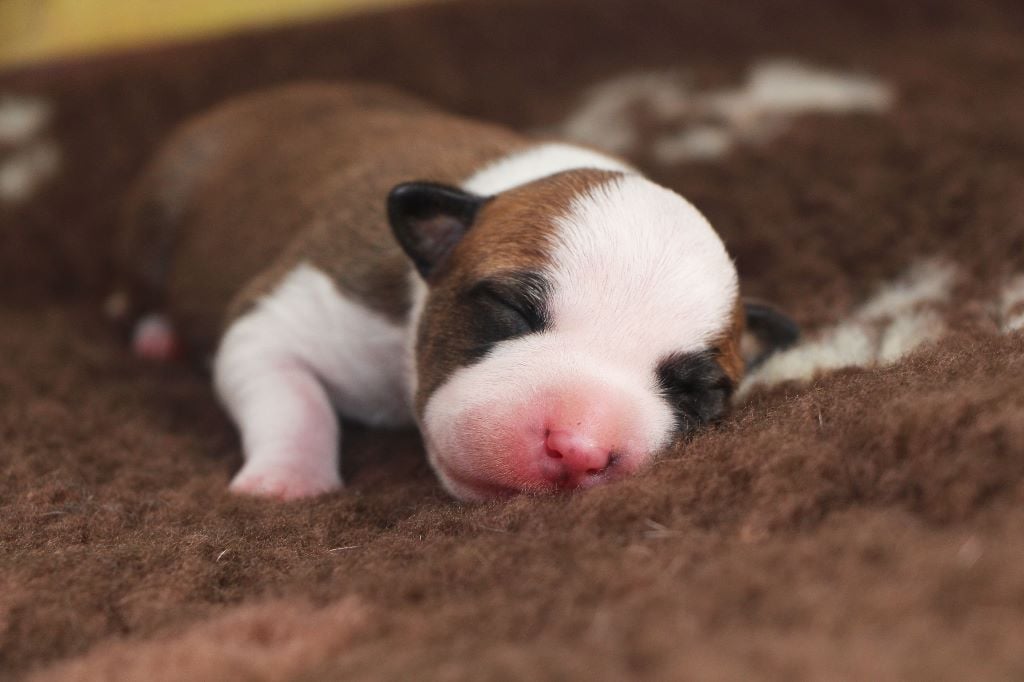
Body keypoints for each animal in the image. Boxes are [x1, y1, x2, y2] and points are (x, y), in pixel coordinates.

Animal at [115, 83, 797, 501]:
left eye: (697, 391)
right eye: (511, 309)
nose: (580, 450)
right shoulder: (294, 313)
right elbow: (292, 398)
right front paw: (288, 480)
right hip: (155, 214)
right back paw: (155, 333)